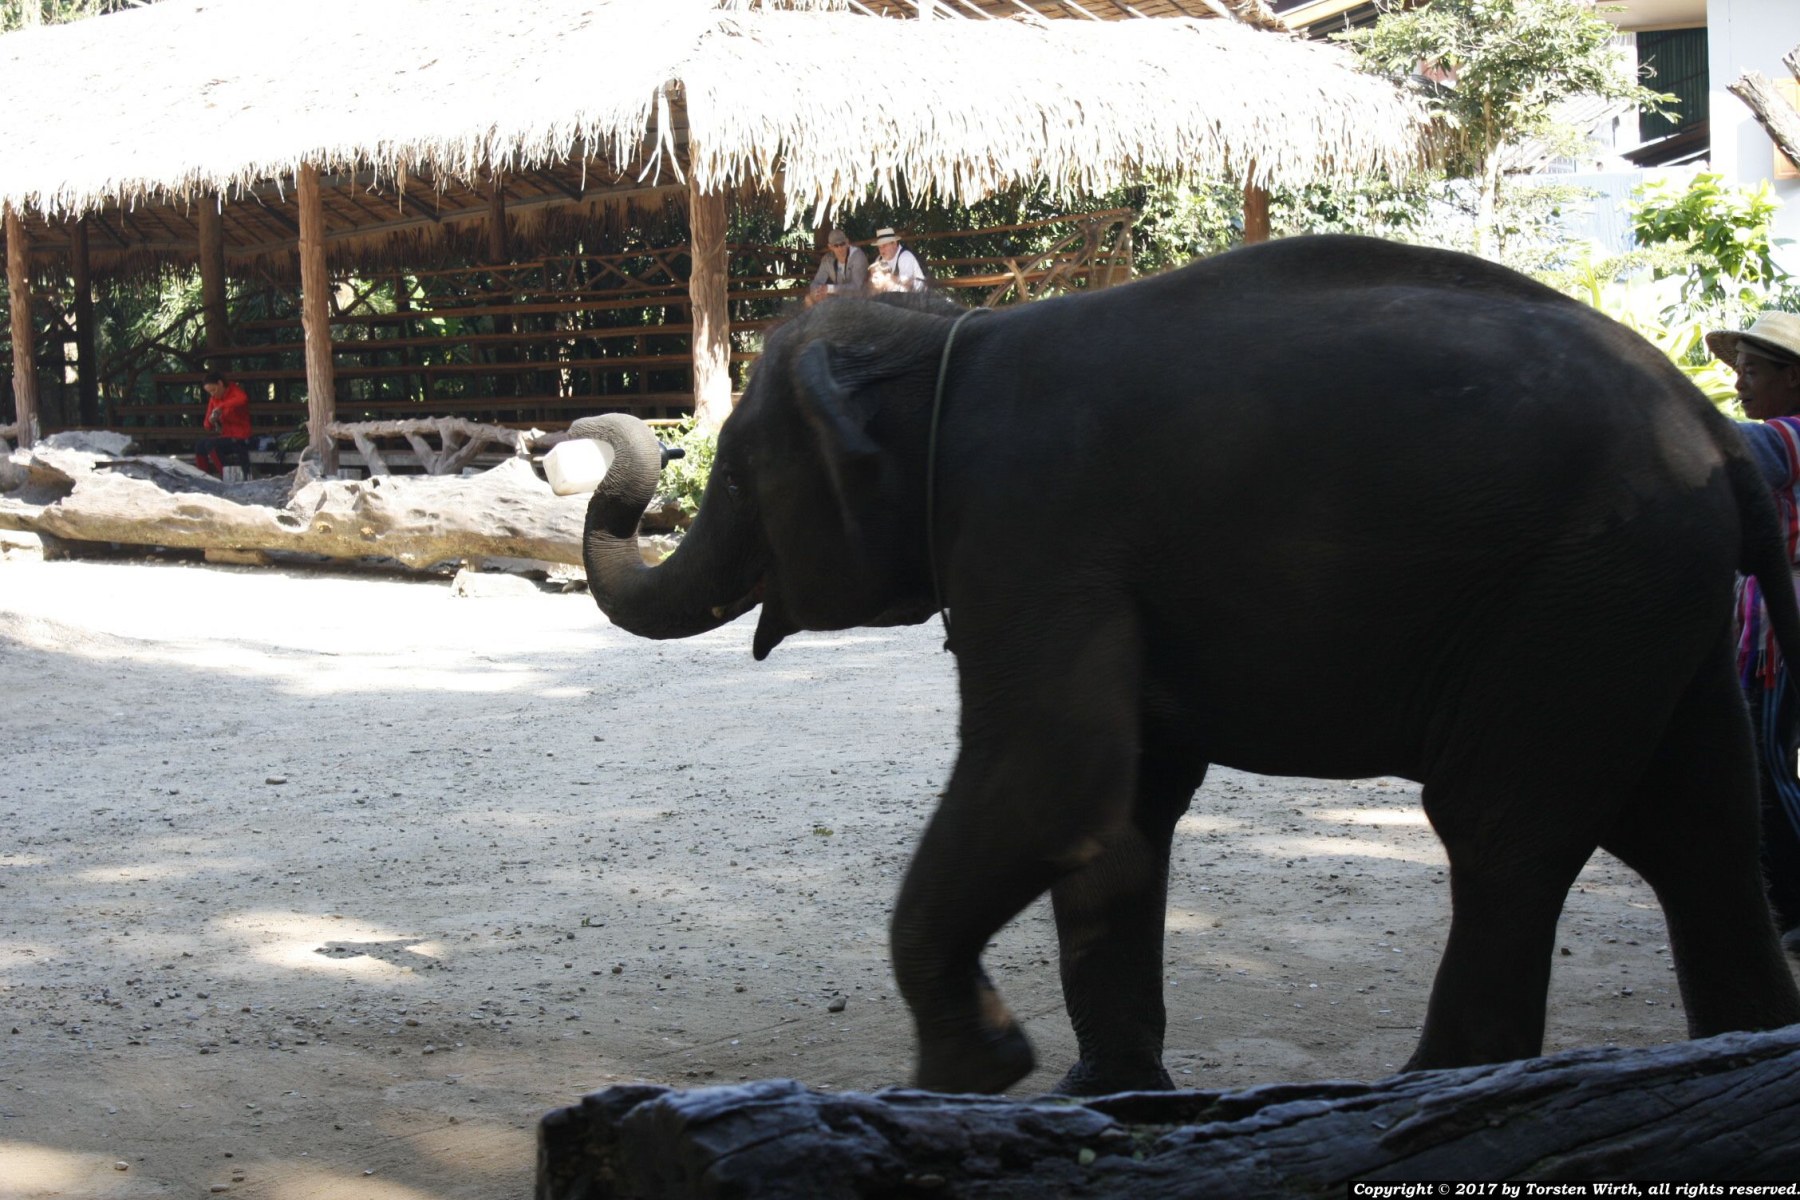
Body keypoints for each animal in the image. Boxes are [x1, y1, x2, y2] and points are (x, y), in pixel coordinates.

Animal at [574, 234, 1800, 1096]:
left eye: (736, 479)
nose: (587, 428)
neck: (955, 337)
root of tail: (1717, 429)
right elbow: (1121, 807)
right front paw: (1101, 1092)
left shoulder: (1036, 531)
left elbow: (1053, 774)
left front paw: (972, 1077)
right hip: (1641, 605)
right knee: (1697, 826)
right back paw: (1732, 1056)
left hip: (1575, 594)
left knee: (1504, 829)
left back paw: (1426, 1088)